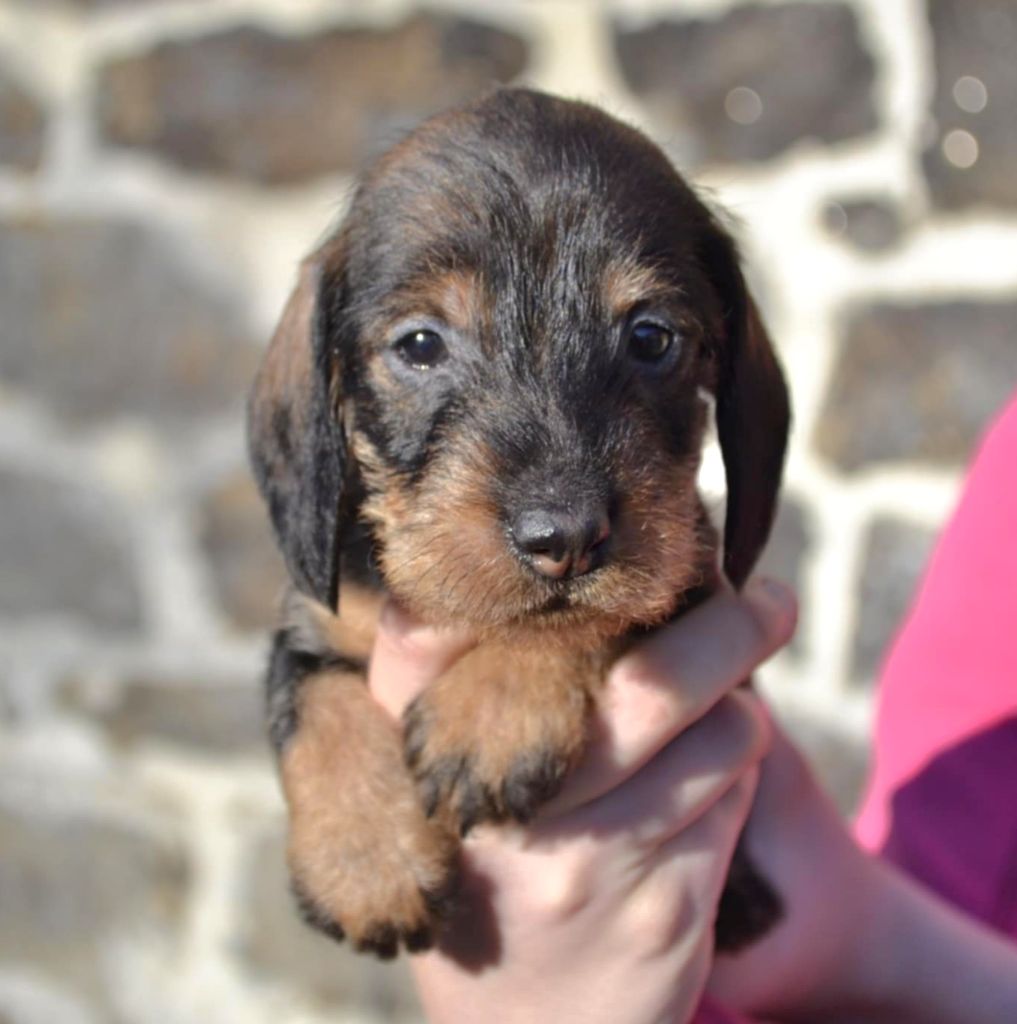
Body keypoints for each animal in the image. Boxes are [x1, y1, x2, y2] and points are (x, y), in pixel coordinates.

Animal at [249, 88, 790, 958]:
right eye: (420, 344)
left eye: (651, 336)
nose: (563, 536)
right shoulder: (315, 616)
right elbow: (309, 698)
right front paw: (368, 859)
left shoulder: (687, 573)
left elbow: (586, 619)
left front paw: (496, 707)